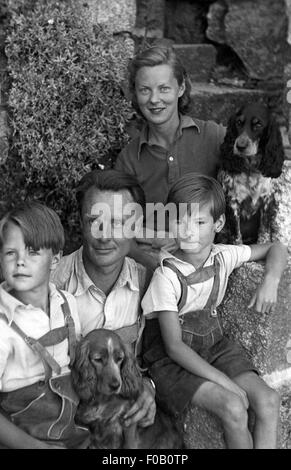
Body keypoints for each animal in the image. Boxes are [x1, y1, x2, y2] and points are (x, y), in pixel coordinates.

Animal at [219, 102, 286, 242]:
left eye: (258, 125)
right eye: (238, 122)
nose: (240, 146)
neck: (251, 169)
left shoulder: (267, 200)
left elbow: (264, 232)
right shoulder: (233, 202)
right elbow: (236, 236)